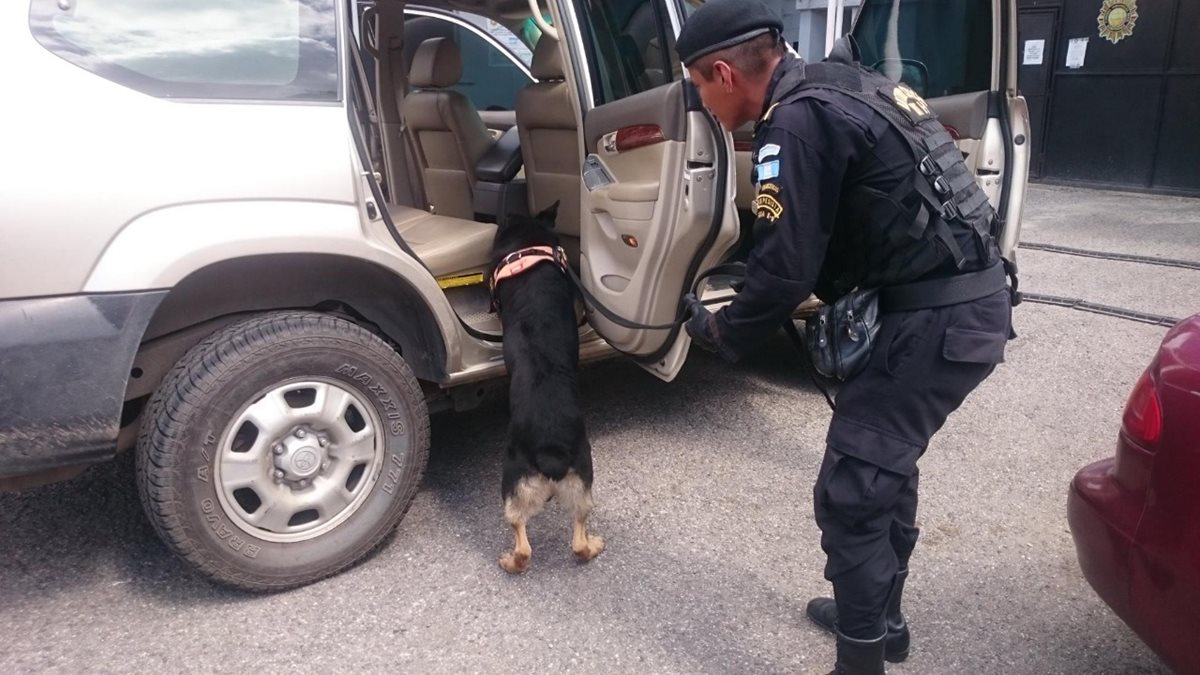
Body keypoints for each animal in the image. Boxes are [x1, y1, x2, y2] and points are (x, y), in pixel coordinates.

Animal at [487, 201, 604, 569]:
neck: (528, 240)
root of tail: (550, 449)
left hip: (512, 477)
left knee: (523, 541)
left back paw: (510, 561)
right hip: (582, 477)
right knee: (577, 539)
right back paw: (592, 546)